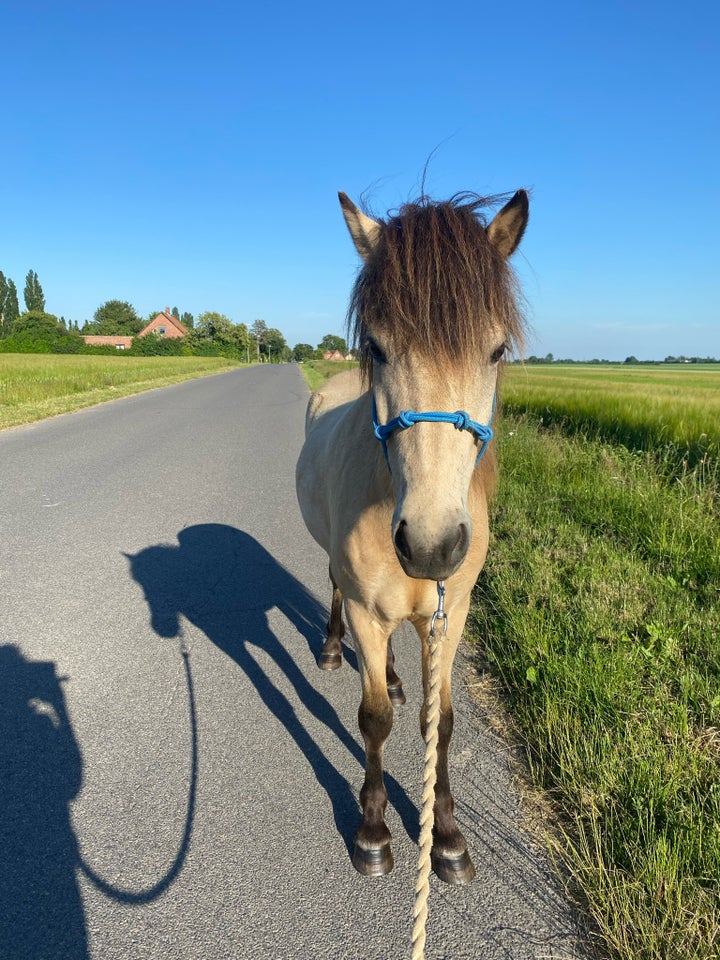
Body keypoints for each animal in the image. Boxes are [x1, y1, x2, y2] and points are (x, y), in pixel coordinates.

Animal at [294, 188, 528, 884]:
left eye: (496, 351)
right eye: (376, 346)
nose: (431, 546)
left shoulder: (451, 617)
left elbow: (438, 723)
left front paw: (445, 836)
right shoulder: (369, 609)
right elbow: (374, 719)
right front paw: (372, 829)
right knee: (334, 592)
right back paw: (331, 649)